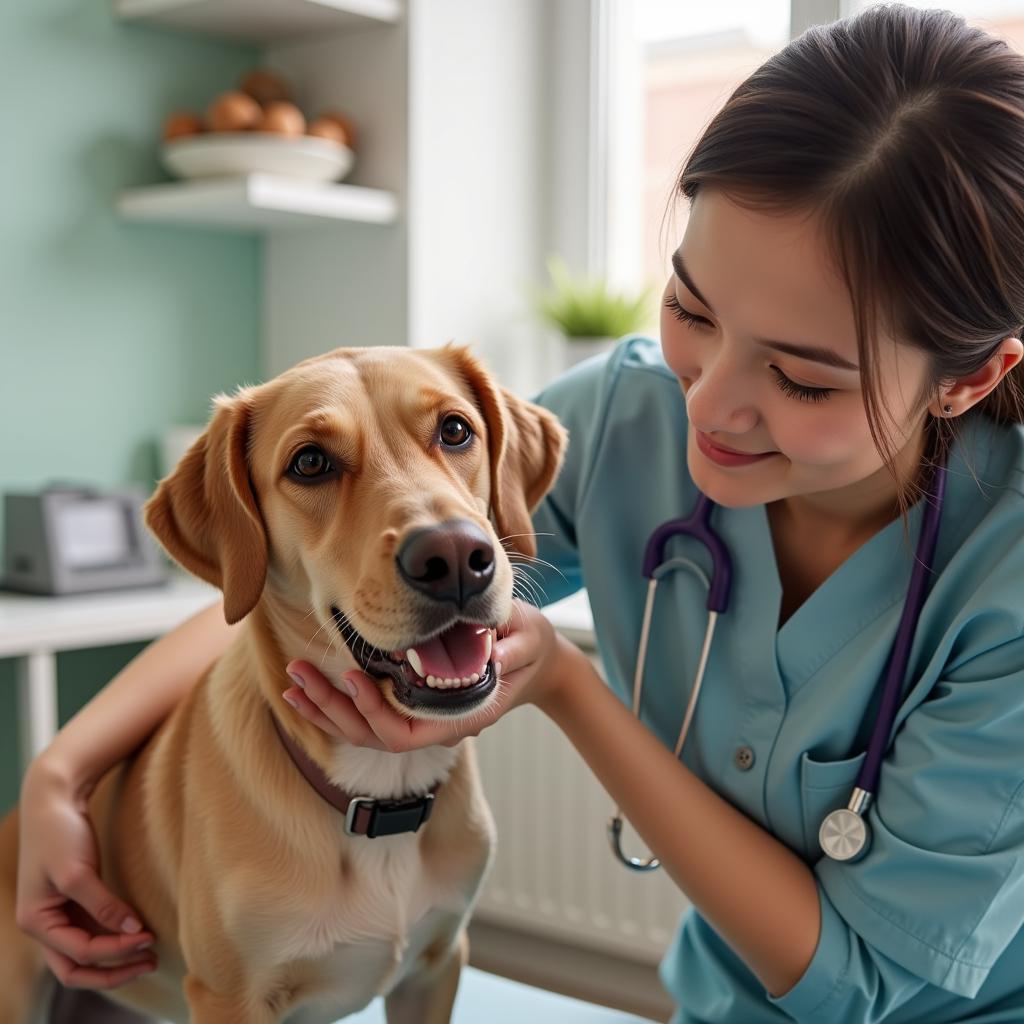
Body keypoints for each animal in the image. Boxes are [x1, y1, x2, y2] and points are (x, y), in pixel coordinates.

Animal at [0, 346, 565, 1024]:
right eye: (311, 463)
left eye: (455, 430)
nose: (455, 557)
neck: (379, 792)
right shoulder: (229, 998)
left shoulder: (437, 966)